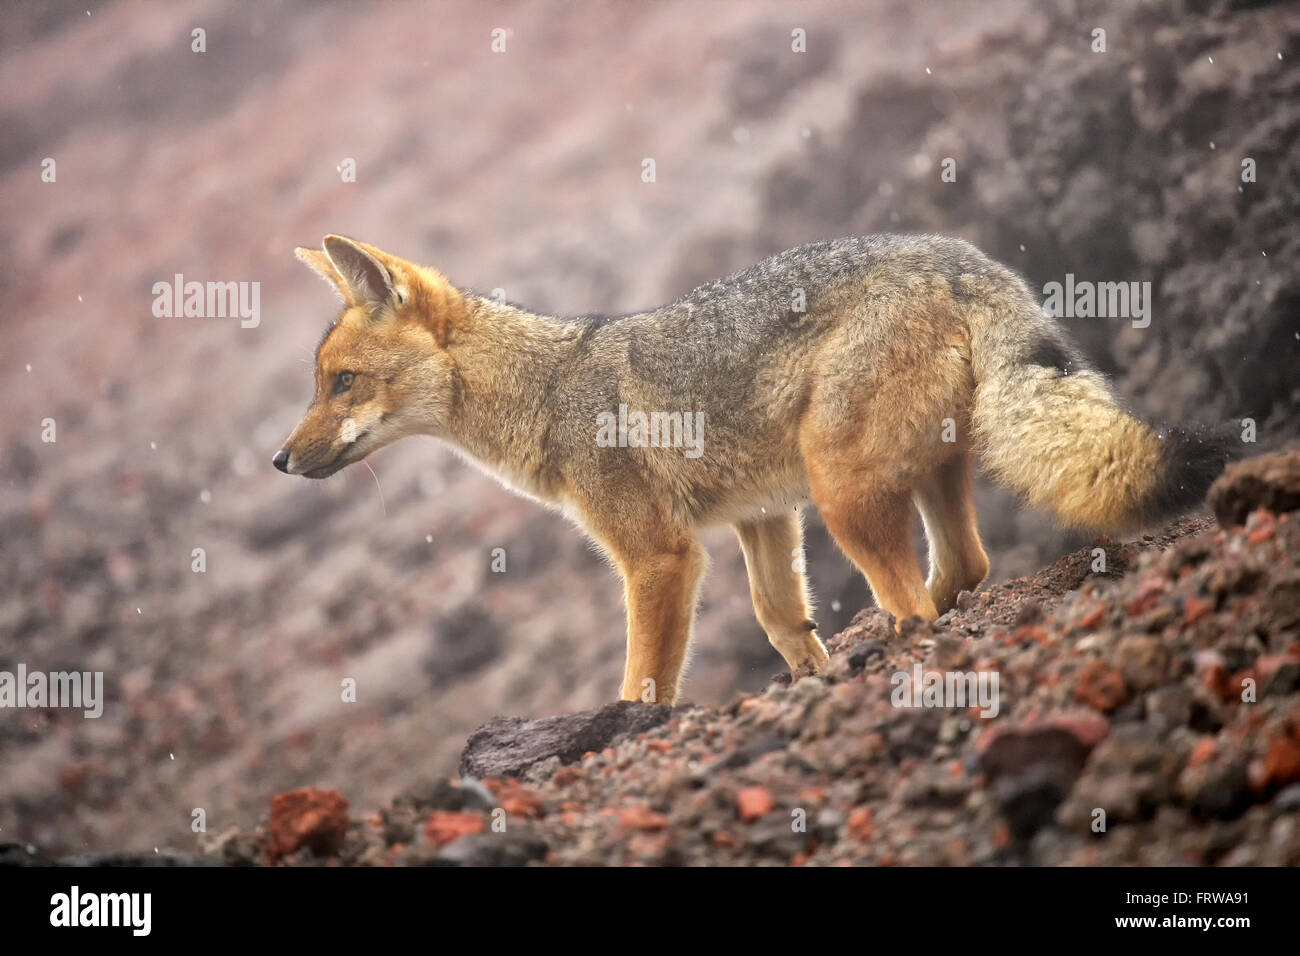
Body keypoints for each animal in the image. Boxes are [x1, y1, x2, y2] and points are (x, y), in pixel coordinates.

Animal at [274, 234, 1231, 705]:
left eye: (341, 382)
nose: (280, 460)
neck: (549, 388)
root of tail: (961, 256)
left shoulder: (661, 557)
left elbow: (644, 682)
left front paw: (629, 730)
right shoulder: (758, 518)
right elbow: (781, 620)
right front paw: (812, 676)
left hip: (843, 494)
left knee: (919, 599)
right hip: (913, 481)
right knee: (966, 565)